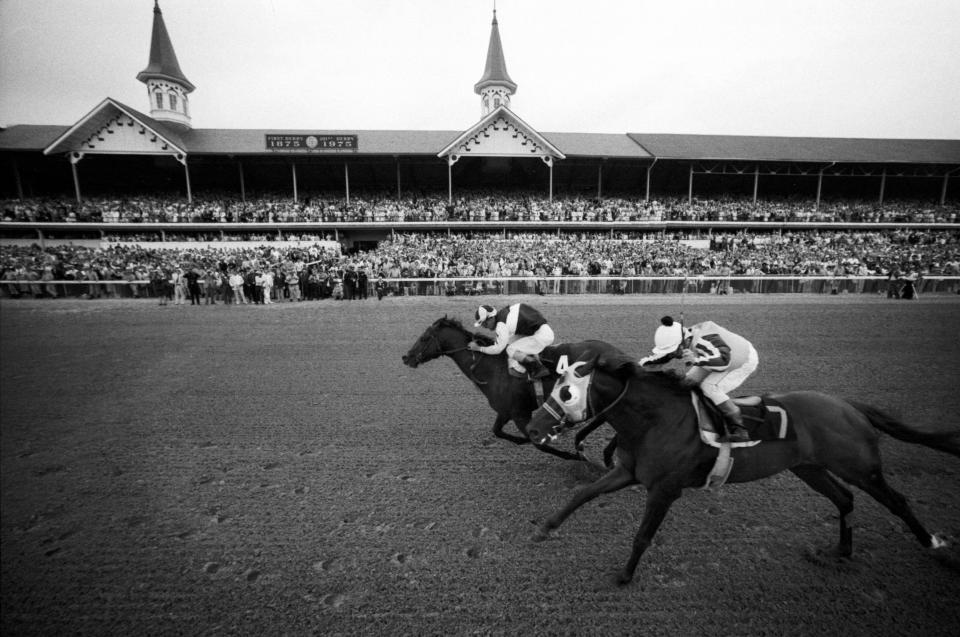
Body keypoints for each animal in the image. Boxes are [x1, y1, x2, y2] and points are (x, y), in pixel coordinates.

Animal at [402, 318, 620, 462]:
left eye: (424, 338)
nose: (406, 357)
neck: (492, 369)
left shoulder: (519, 413)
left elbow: (536, 441)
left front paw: (574, 457)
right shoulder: (506, 411)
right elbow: (498, 431)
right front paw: (522, 441)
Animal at [524, 346, 960, 584]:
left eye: (566, 391)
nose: (532, 426)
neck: (656, 420)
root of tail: (849, 405)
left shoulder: (665, 490)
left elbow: (642, 536)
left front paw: (625, 575)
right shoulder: (628, 472)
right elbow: (583, 494)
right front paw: (545, 528)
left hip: (860, 466)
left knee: (897, 500)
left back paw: (934, 544)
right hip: (810, 467)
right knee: (845, 499)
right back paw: (839, 551)